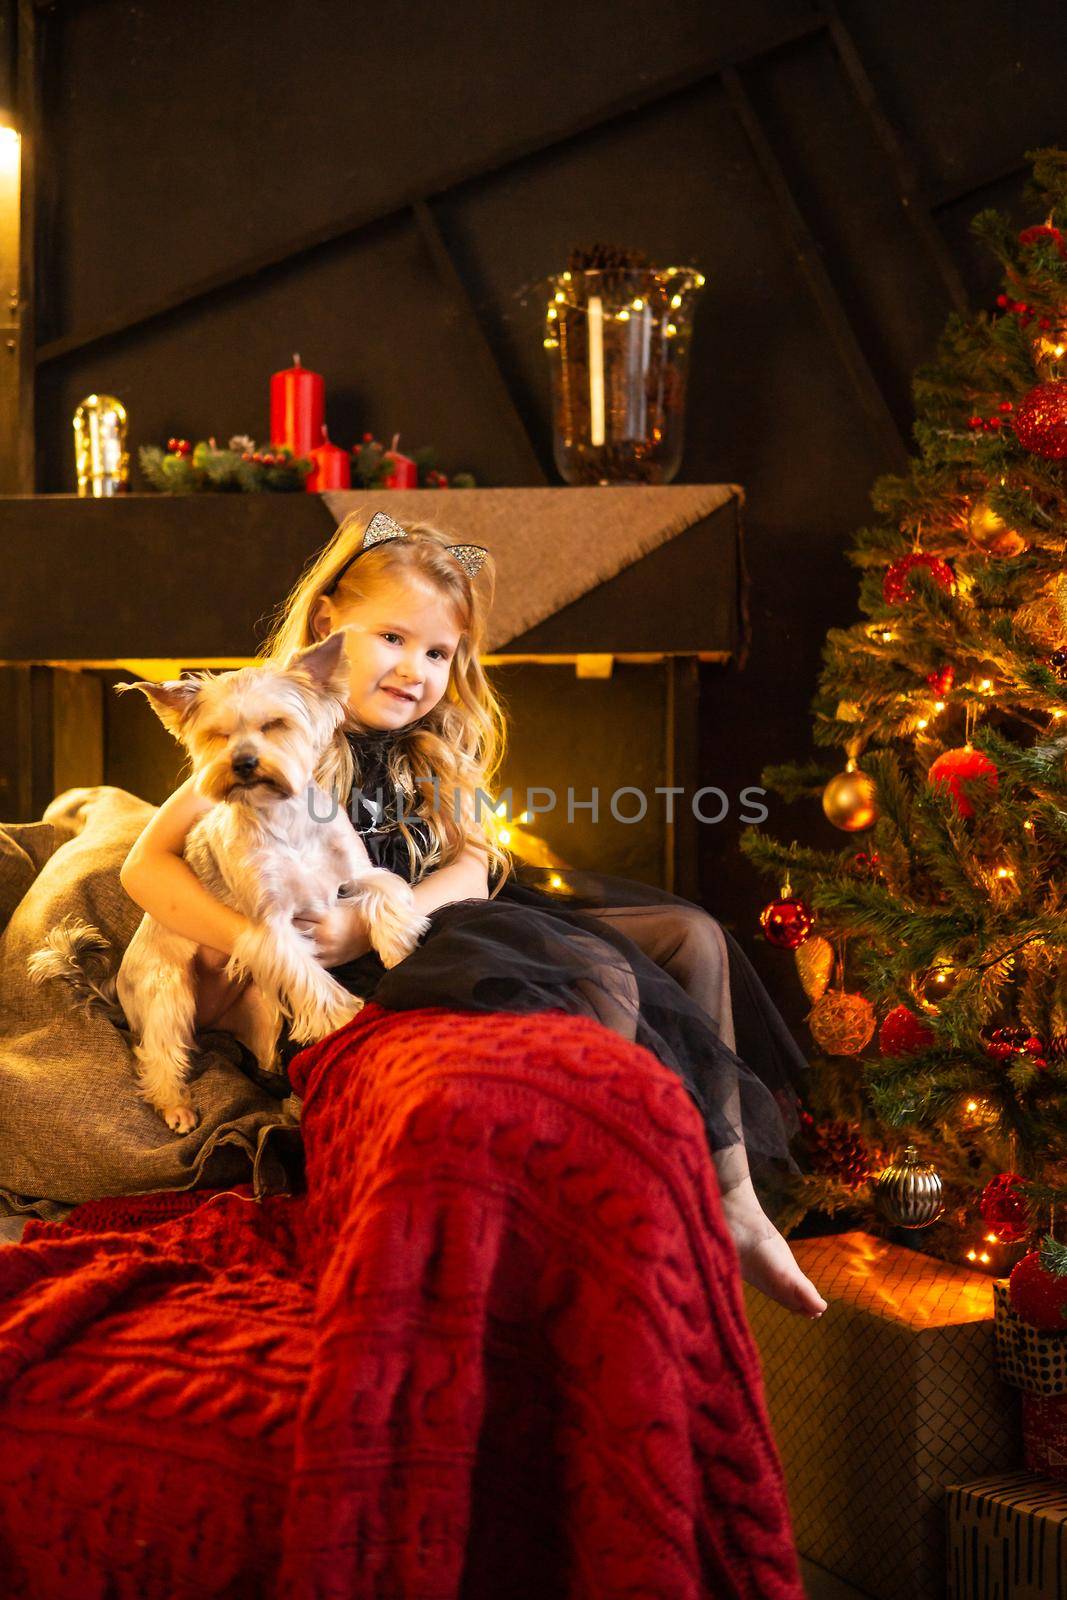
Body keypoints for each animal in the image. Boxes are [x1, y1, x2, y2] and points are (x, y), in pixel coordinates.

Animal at [25, 630, 425, 1132]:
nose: (244, 762)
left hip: (258, 1016)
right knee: (158, 1053)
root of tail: (117, 993)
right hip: (167, 991)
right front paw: (342, 1015)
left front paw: (399, 947)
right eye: (218, 736)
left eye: (275, 725)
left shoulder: (356, 874)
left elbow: (388, 892)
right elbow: (308, 976)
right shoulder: (270, 928)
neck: (284, 819)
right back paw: (174, 1104)